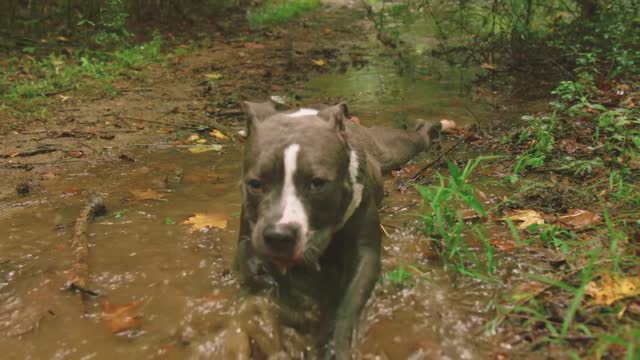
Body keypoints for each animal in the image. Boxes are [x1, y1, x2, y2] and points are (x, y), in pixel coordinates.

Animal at [235, 100, 440, 358]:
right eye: (255, 184)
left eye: (317, 183)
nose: (279, 235)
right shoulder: (247, 236)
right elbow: (251, 267)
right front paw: (290, 298)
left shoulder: (364, 255)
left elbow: (347, 303)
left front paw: (333, 344)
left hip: (393, 148)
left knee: (415, 138)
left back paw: (431, 127)